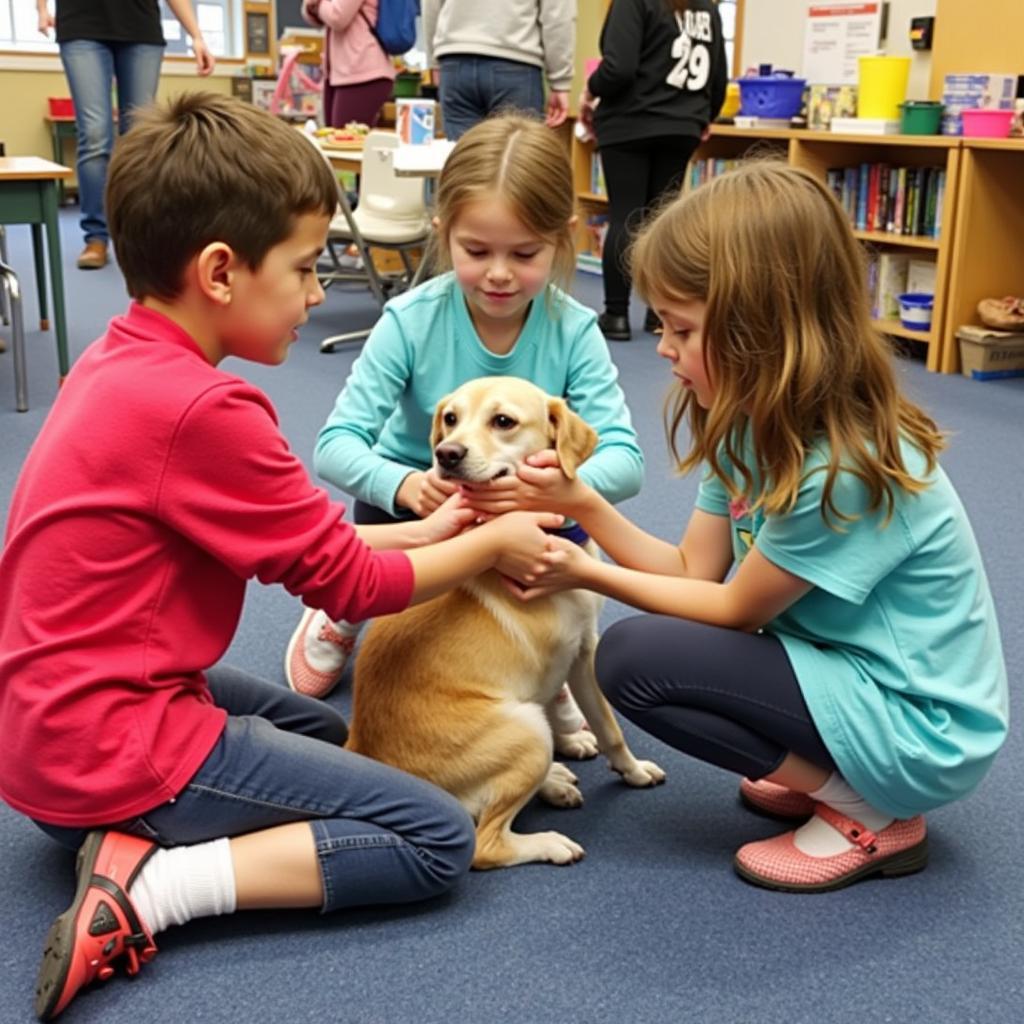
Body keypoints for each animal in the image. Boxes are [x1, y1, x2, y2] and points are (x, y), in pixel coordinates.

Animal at [346, 380, 663, 868]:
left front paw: (611, 761)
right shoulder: (571, 655)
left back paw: (555, 779)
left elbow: (596, 722)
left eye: (503, 421)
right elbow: (607, 724)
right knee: (486, 844)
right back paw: (549, 839)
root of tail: (363, 750)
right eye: (451, 418)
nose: (446, 454)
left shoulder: (579, 653)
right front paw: (625, 769)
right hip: (526, 728)